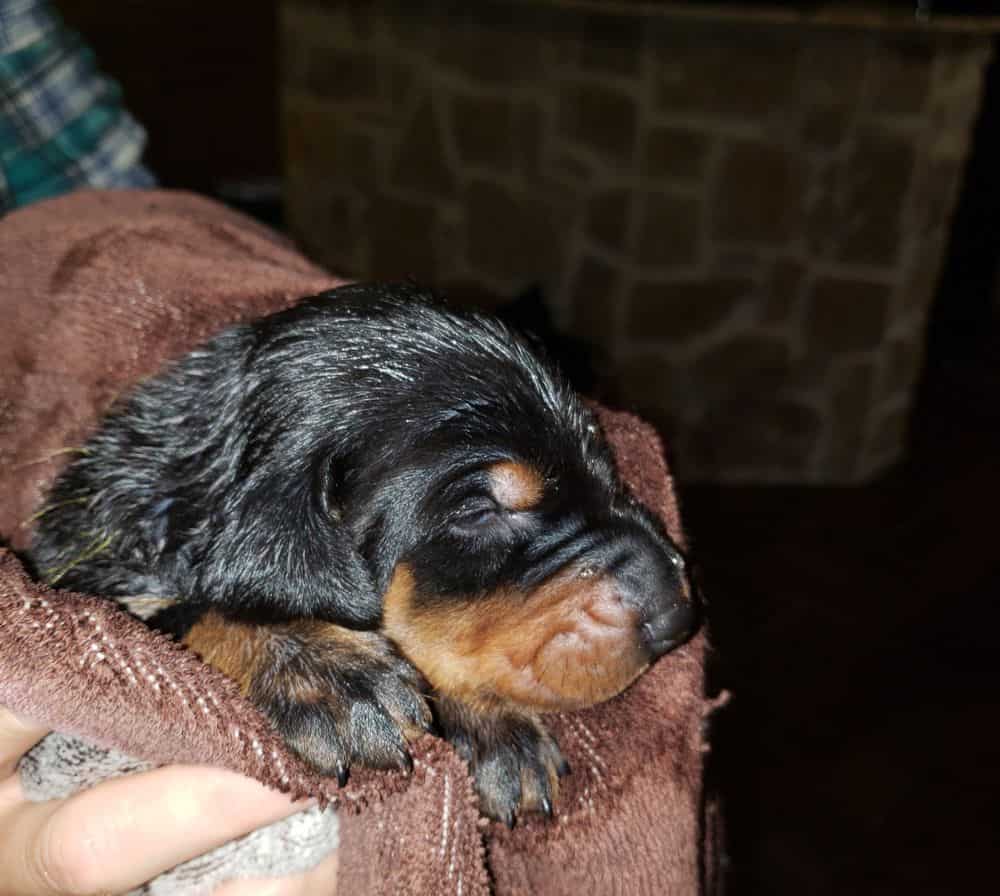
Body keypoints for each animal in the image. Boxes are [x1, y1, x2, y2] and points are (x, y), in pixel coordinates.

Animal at [27, 284, 696, 824]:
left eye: (605, 467)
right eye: (478, 511)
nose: (679, 616)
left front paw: (493, 724)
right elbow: (178, 614)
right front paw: (324, 671)